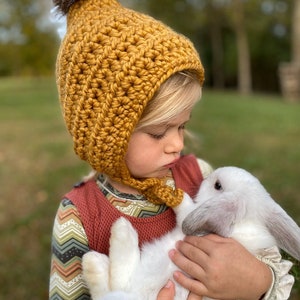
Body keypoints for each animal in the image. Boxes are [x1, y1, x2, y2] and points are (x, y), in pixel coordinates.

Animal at [81, 166, 300, 300]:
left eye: (217, 185)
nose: (207, 176)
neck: (244, 223)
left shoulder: (190, 216)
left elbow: (186, 209)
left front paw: (178, 196)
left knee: (116, 280)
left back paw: (115, 238)